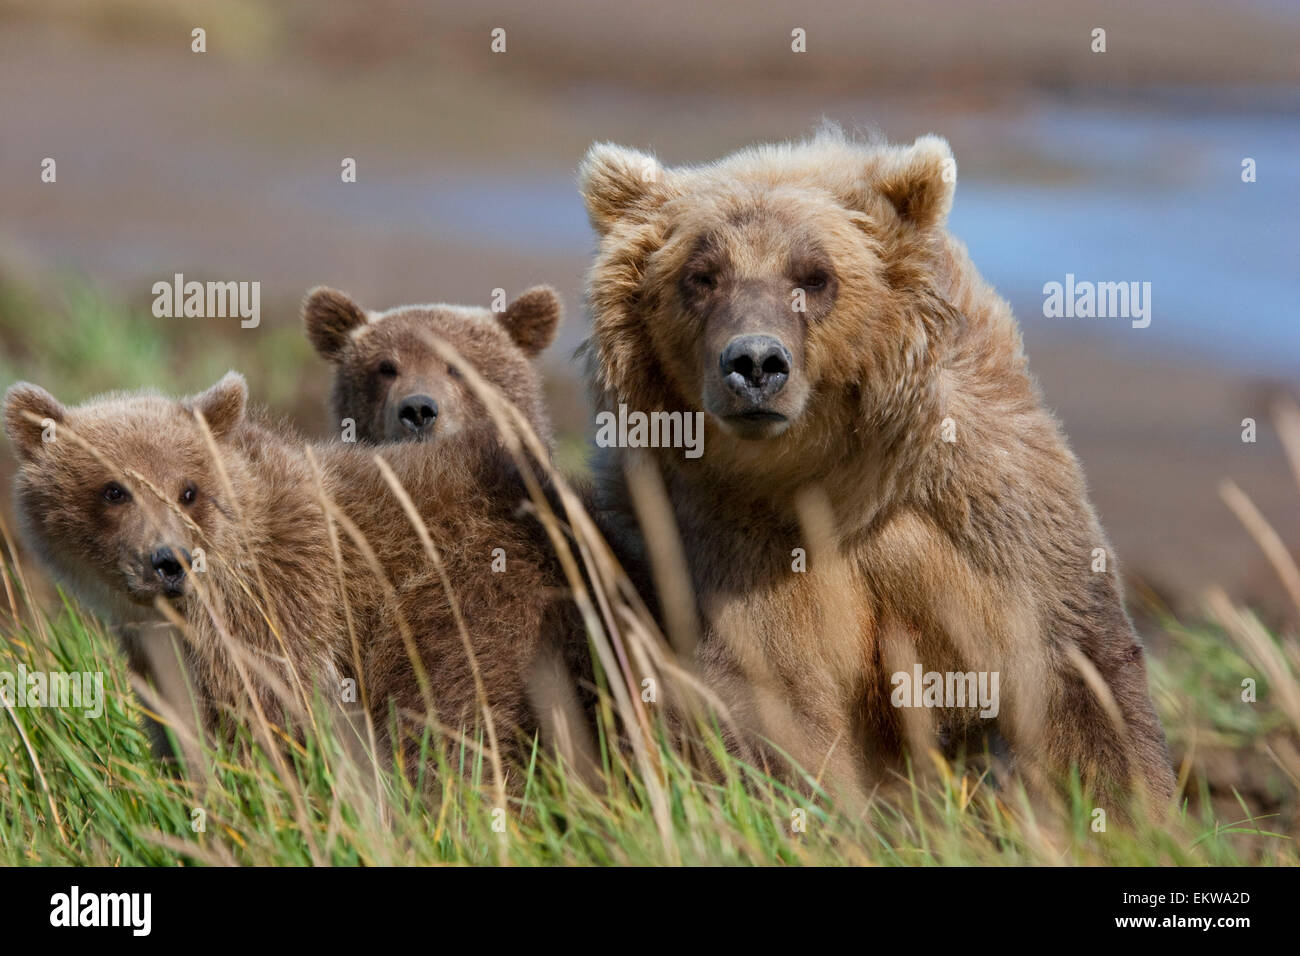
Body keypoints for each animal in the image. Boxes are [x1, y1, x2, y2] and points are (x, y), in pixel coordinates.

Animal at [3, 372, 579, 779]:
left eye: (188, 489)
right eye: (114, 490)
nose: (170, 560)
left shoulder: (281, 601)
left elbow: (268, 713)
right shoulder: (159, 646)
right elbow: (178, 721)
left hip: (474, 596)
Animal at [577, 129, 1176, 811]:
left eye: (814, 276)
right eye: (701, 276)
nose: (755, 363)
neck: (830, 480)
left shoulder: (978, 500)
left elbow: (1070, 665)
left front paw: (1131, 806)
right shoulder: (725, 536)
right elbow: (776, 699)